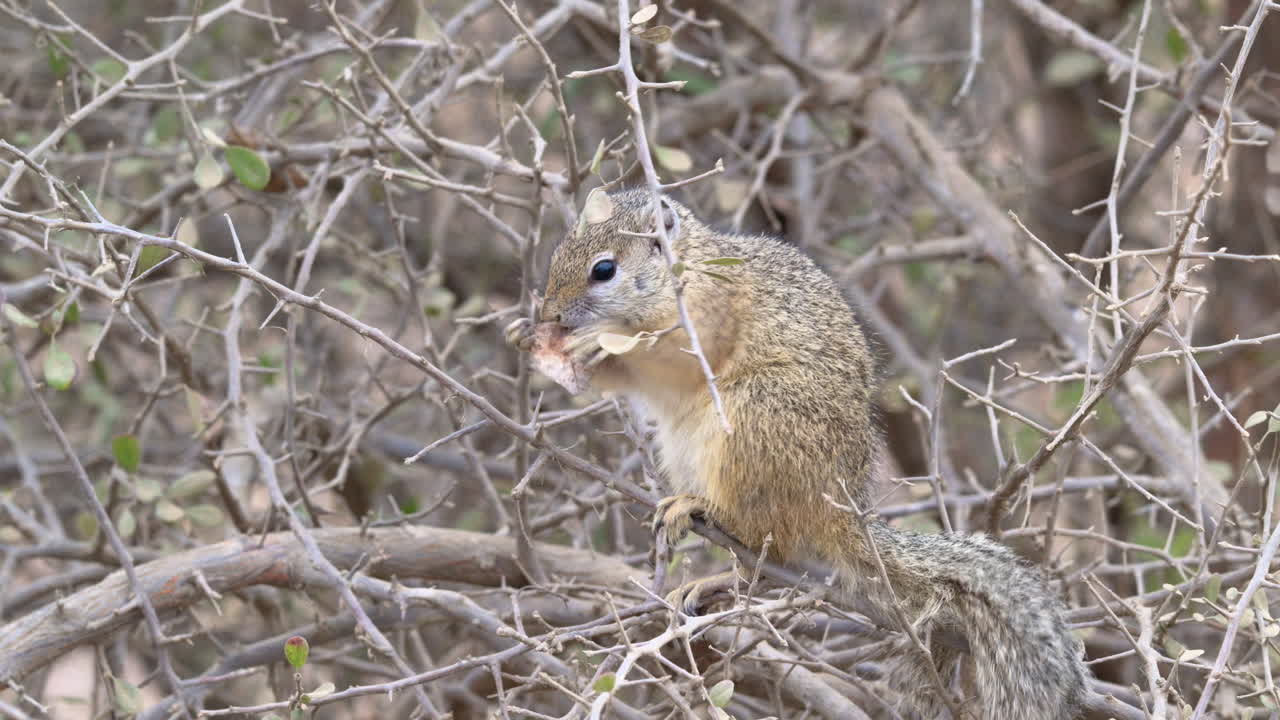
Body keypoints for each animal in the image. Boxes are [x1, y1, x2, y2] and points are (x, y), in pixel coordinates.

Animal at [507, 189, 1088, 719]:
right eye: (560, 252)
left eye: (605, 270)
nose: (551, 312)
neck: (682, 273)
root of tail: (841, 505)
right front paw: (525, 335)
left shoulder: (710, 311)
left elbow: (682, 353)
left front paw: (593, 339)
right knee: (765, 559)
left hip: (756, 423)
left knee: (772, 544)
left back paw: (698, 512)